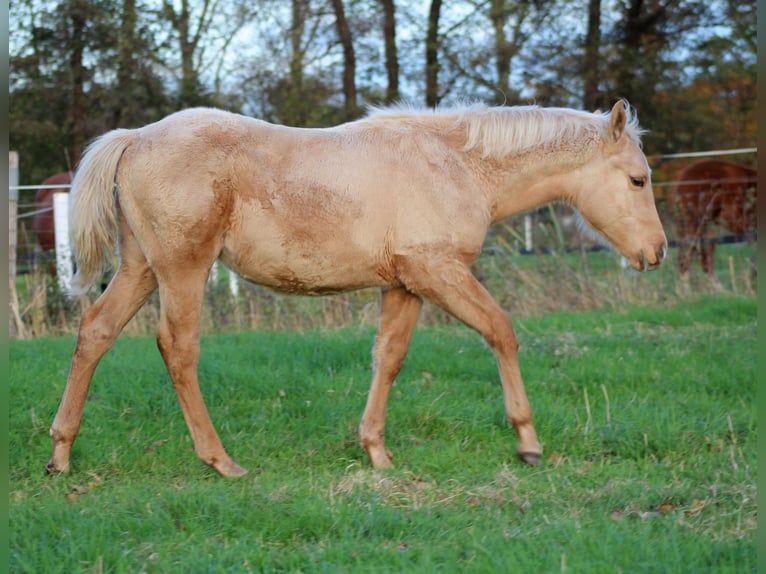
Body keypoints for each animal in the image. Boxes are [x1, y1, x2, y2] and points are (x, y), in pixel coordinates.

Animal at [46, 99, 667, 478]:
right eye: (638, 180)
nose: (657, 252)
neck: (457, 164)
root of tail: (134, 137)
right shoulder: (438, 271)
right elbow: (501, 332)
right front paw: (528, 442)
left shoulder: (406, 286)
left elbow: (387, 358)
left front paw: (376, 451)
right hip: (183, 271)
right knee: (178, 349)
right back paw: (220, 460)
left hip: (141, 270)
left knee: (95, 331)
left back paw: (60, 453)